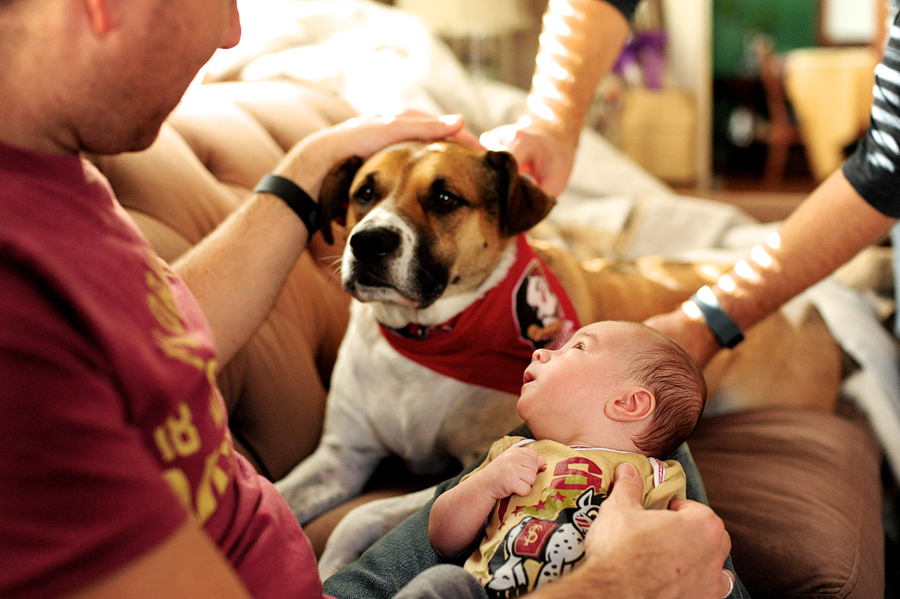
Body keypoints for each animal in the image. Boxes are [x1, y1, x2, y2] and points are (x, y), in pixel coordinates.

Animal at [276, 141, 844, 576]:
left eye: (444, 197)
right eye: (364, 193)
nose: (368, 241)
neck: (422, 338)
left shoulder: (471, 461)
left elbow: (361, 514)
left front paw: (327, 564)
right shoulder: (341, 458)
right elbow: (284, 494)